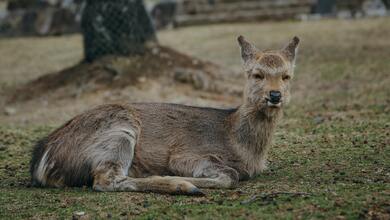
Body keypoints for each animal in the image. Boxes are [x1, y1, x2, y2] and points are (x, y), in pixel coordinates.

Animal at [30, 35, 300, 195]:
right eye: (257, 74)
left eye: (287, 76)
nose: (275, 95)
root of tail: (42, 161)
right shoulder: (185, 154)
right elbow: (231, 176)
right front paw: (188, 181)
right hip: (119, 132)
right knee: (106, 180)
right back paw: (181, 185)